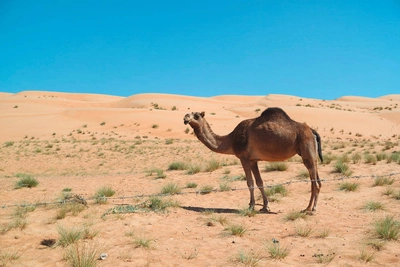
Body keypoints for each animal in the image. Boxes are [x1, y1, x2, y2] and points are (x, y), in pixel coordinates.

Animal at [183, 107, 324, 214]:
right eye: (189, 114)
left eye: (197, 115)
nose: (185, 118)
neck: (230, 139)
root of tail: (312, 131)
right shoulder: (253, 160)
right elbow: (259, 182)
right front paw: (265, 206)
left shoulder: (244, 157)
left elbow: (249, 183)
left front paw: (251, 206)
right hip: (311, 154)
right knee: (316, 180)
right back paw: (306, 208)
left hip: (307, 149)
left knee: (315, 182)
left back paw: (313, 209)